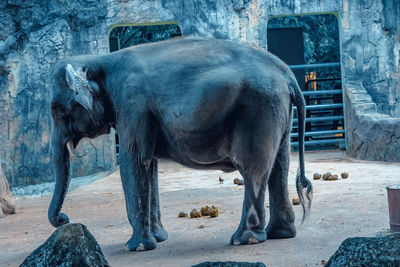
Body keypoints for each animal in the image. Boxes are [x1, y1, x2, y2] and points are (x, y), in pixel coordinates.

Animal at [48, 36, 312, 252]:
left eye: (58, 109)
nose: (64, 219)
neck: (99, 59)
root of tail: (288, 75)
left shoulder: (132, 104)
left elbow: (134, 162)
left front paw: (137, 247)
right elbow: (149, 165)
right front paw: (159, 238)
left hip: (257, 110)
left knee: (254, 171)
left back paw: (243, 240)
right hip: (277, 111)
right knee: (279, 166)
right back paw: (279, 234)